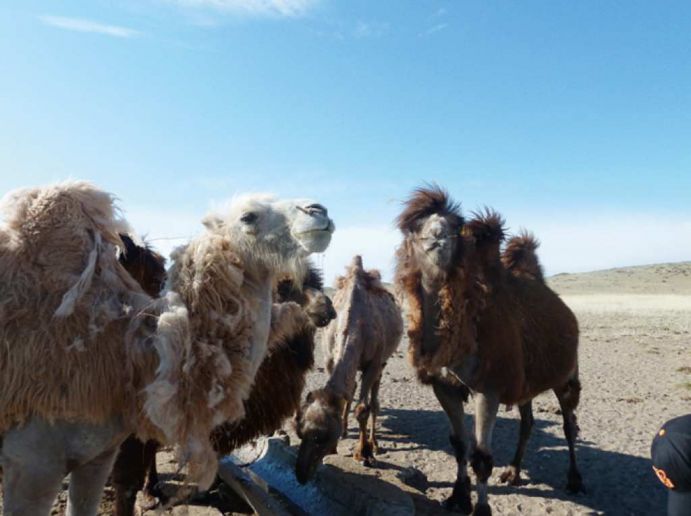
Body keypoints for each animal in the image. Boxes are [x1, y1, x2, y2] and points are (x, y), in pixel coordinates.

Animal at [294, 254, 402, 484]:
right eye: (299, 432)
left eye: (320, 437)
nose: (301, 475)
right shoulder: (329, 359)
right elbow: (343, 396)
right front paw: (338, 442)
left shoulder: (373, 363)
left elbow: (363, 409)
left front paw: (364, 454)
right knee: (351, 391)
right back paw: (345, 430)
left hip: (383, 363)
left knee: (374, 401)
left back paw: (375, 444)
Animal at [394, 186, 584, 516]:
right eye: (414, 229)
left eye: (453, 227)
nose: (436, 237)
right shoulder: (444, 386)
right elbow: (459, 444)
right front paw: (458, 497)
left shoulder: (489, 388)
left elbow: (481, 457)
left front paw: (481, 508)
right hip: (525, 382)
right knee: (527, 422)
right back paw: (514, 472)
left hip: (566, 375)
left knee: (568, 424)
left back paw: (574, 480)